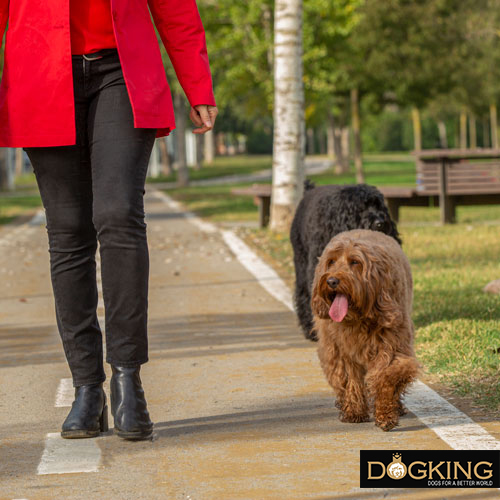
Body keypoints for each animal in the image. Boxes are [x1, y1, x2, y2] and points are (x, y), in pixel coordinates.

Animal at [312, 229, 418, 430]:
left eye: (355, 262)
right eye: (331, 261)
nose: (331, 281)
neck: (358, 317)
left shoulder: (391, 347)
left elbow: (386, 378)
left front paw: (385, 414)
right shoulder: (339, 352)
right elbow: (349, 379)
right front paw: (354, 411)